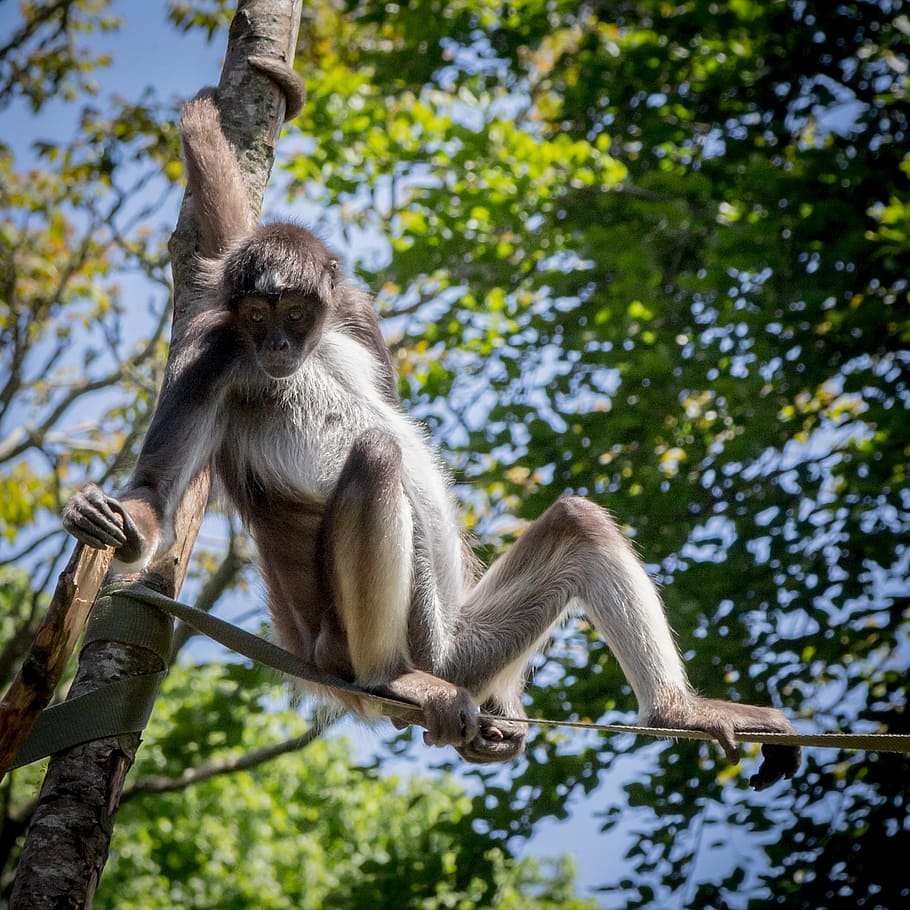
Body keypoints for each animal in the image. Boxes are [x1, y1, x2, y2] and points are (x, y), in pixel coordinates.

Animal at [63, 59, 801, 790]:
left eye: (294, 312)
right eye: (256, 316)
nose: (274, 345)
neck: (307, 352)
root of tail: (321, 661)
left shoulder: (352, 312)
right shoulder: (213, 354)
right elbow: (156, 493)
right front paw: (120, 521)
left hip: (464, 648)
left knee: (577, 521)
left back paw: (677, 709)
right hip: (402, 647)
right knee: (378, 455)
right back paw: (392, 678)